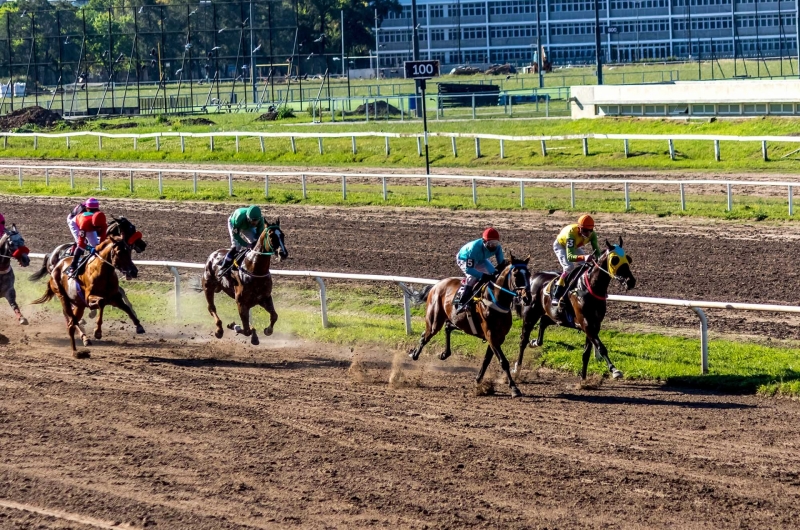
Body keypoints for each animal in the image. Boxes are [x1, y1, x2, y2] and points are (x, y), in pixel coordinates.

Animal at [406, 255, 532, 396]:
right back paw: (414, 354)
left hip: (458, 321)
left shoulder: (498, 337)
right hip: (434, 321)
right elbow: (503, 362)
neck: (496, 301)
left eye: (529, 274)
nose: (527, 298)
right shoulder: (491, 335)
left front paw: (478, 381)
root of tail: (436, 285)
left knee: (448, 326)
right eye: (516, 274)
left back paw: (444, 353)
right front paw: (514, 388)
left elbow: (486, 360)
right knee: (425, 336)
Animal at [512, 238, 636, 380]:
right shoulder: (586, 323)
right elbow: (600, 347)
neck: (590, 287)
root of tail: (532, 278)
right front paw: (614, 370)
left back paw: (534, 343)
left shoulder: (594, 325)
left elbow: (586, 354)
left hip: (557, 316)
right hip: (530, 315)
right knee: (523, 340)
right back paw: (517, 369)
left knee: (543, 322)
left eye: (628, 258)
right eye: (615, 259)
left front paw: (583, 379)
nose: (631, 281)